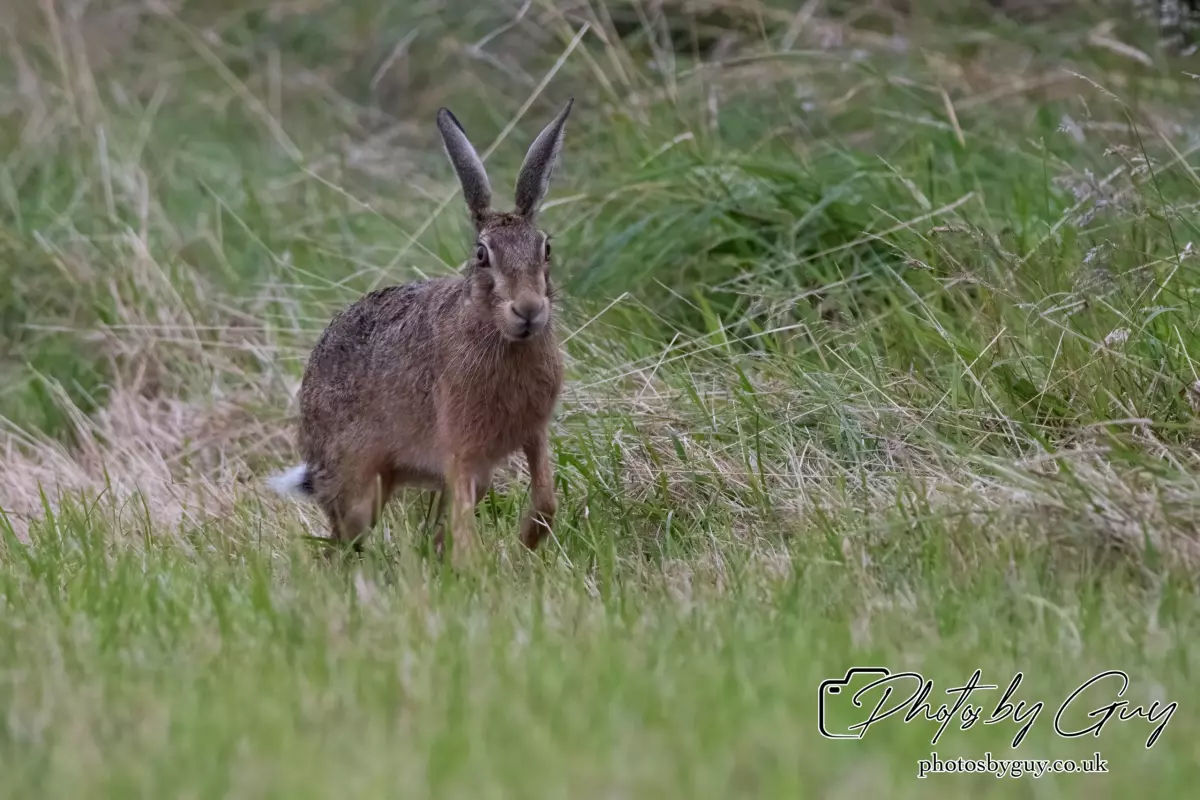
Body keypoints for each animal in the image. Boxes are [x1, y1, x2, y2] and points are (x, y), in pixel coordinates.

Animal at [269, 99, 574, 566]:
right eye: (482, 255)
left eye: (547, 249)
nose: (528, 310)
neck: (494, 332)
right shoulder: (460, 449)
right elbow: (467, 530)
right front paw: (482, 569)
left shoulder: (530, 435)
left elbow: (545, 499)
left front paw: (528, 544)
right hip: (359, 485)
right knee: (346, 537)